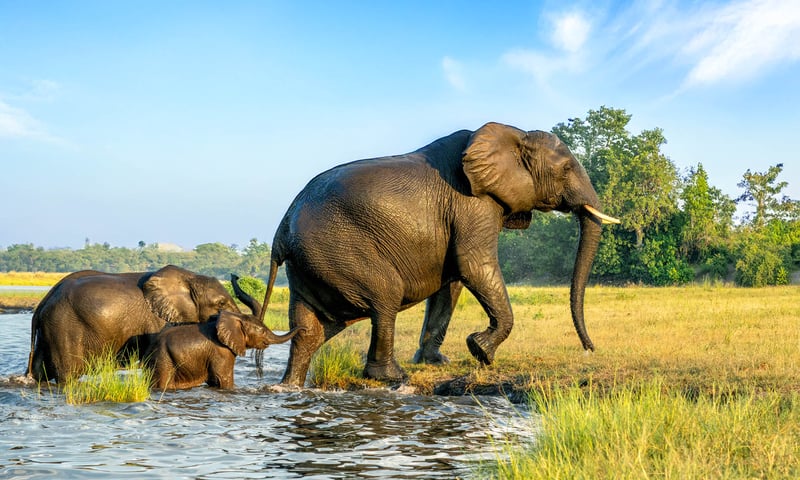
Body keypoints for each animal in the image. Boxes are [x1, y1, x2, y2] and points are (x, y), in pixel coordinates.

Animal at [25, 265, 243, 383]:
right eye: (220, 304)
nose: (236, 275)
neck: (189, 278)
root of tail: (44, 301)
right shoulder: (157, 321)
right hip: (64, 327)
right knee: (68, 374)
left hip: (50, 329)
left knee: (40, 372)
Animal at [144, 276, 301, 390]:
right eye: (261, 330)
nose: (302, 328)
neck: (236, 319)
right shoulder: (221, 352)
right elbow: (223, 379)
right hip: (163, 359)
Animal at [259, 122, 619, 386]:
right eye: (566, 169)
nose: (589, 350)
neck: (514, 133)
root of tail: (282, 227)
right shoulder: (472, 203)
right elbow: (474, 266)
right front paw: (481, 352)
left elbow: (452, 284)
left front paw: (437, 362)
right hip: (337, 250)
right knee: (385, 296)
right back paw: (393, 377)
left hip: (311, 262)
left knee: (310, 329)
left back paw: (290, 386)